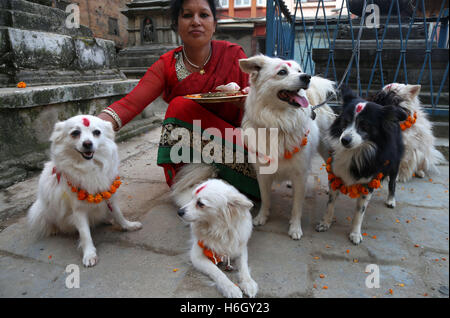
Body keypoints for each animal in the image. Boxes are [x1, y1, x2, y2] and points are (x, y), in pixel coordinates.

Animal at [28, 115, 141, 268]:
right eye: (75, 133)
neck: (89, 166)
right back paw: (55, 229)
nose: (88, 143)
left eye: (97, 132)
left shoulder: (109, 197)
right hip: (40, 209)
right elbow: (85, 233)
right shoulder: (78, 210)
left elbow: (118, 214)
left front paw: (128, 226)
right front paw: (89, 254)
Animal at [171, 164, 256, 298]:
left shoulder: (240, 247)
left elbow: (244, 266)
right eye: (192, 199)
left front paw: (248, 283)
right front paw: (230, 288)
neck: (218, 229)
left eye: (201, 204)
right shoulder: (196, 256)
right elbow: (217, 272)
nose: (179, 212)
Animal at [241, 55, 336, 238]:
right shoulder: (263, 173)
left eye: (299, 71)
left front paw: (295, 228)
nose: (307, 77)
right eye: (282, 72)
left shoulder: (300, 174)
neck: (279, 124)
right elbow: (265, 199)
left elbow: (297, 206)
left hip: (327, 151)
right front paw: (262, 217)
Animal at [316, 88, 408, 245]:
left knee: (392, 182)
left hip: (394, 163)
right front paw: (325, 223)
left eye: (365, 126)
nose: (344, 140)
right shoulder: (336, 173)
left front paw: (355, 234)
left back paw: (391, 200)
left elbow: (360, 212)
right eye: (345, 122)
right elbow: (330, 204)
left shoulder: (368, 182)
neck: (355, 151)